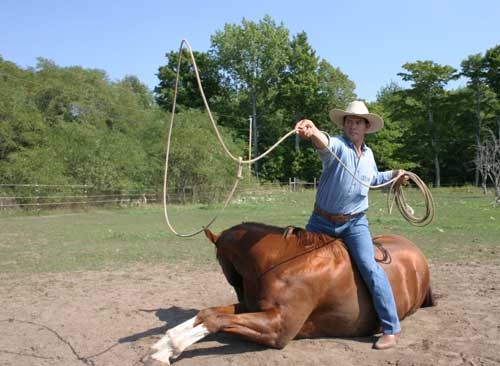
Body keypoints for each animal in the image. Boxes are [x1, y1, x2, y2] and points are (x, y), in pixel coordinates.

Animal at [150, 223, 436, 364]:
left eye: (219, 260)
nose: (241, 292)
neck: (285, 261)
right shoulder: (252, 308)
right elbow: (207, 313)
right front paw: (164, 345)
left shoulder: (279, 328)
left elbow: (214, 319)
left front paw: (168, 349)